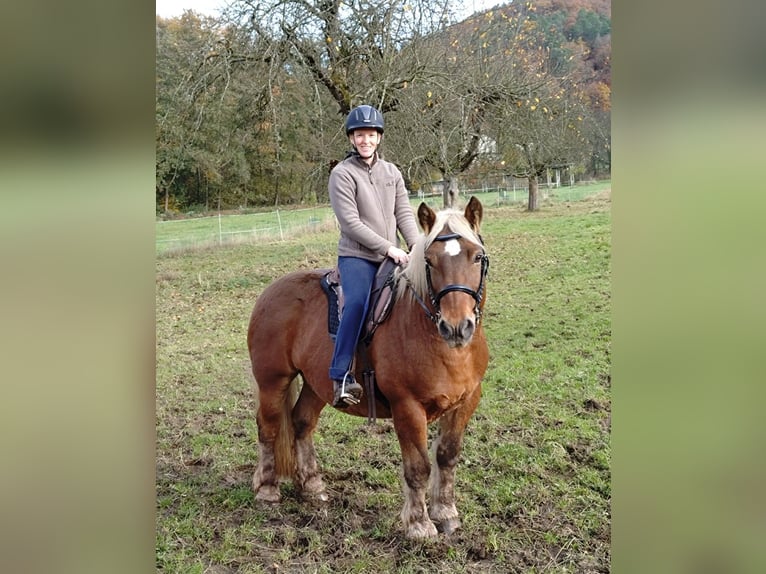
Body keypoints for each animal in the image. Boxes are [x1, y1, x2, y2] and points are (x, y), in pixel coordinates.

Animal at [247, 196, 490, 539]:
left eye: (477, 257)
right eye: (429, 261)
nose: (456, 327)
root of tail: (270, 292)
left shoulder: (466, 402)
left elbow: (447, 456)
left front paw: (446, 513)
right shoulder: (407, 407)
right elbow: (418, 467)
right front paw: (419, 524)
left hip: (317, 384)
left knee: (301, 422)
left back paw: (312, 486)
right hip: (273, 380)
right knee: (268, 427)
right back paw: (267, 489)